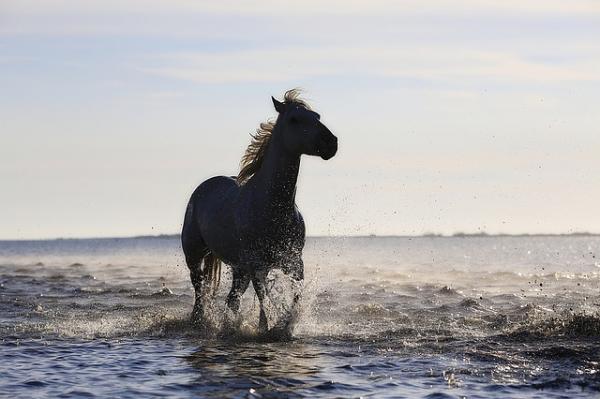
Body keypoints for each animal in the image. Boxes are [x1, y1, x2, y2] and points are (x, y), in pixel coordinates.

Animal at [180, 90, 338, 334]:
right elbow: (264, 298)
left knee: (232, 299)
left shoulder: (294, 262)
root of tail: (203, 187)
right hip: (195, 255)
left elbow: (295, 296)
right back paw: (200, 321)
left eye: (317, 116)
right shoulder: (257, 265)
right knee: (200, 292)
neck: (273, 206)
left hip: (239, 269)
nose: (331, 143)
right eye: (294, 119)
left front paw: (285, 325)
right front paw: (267, 327)